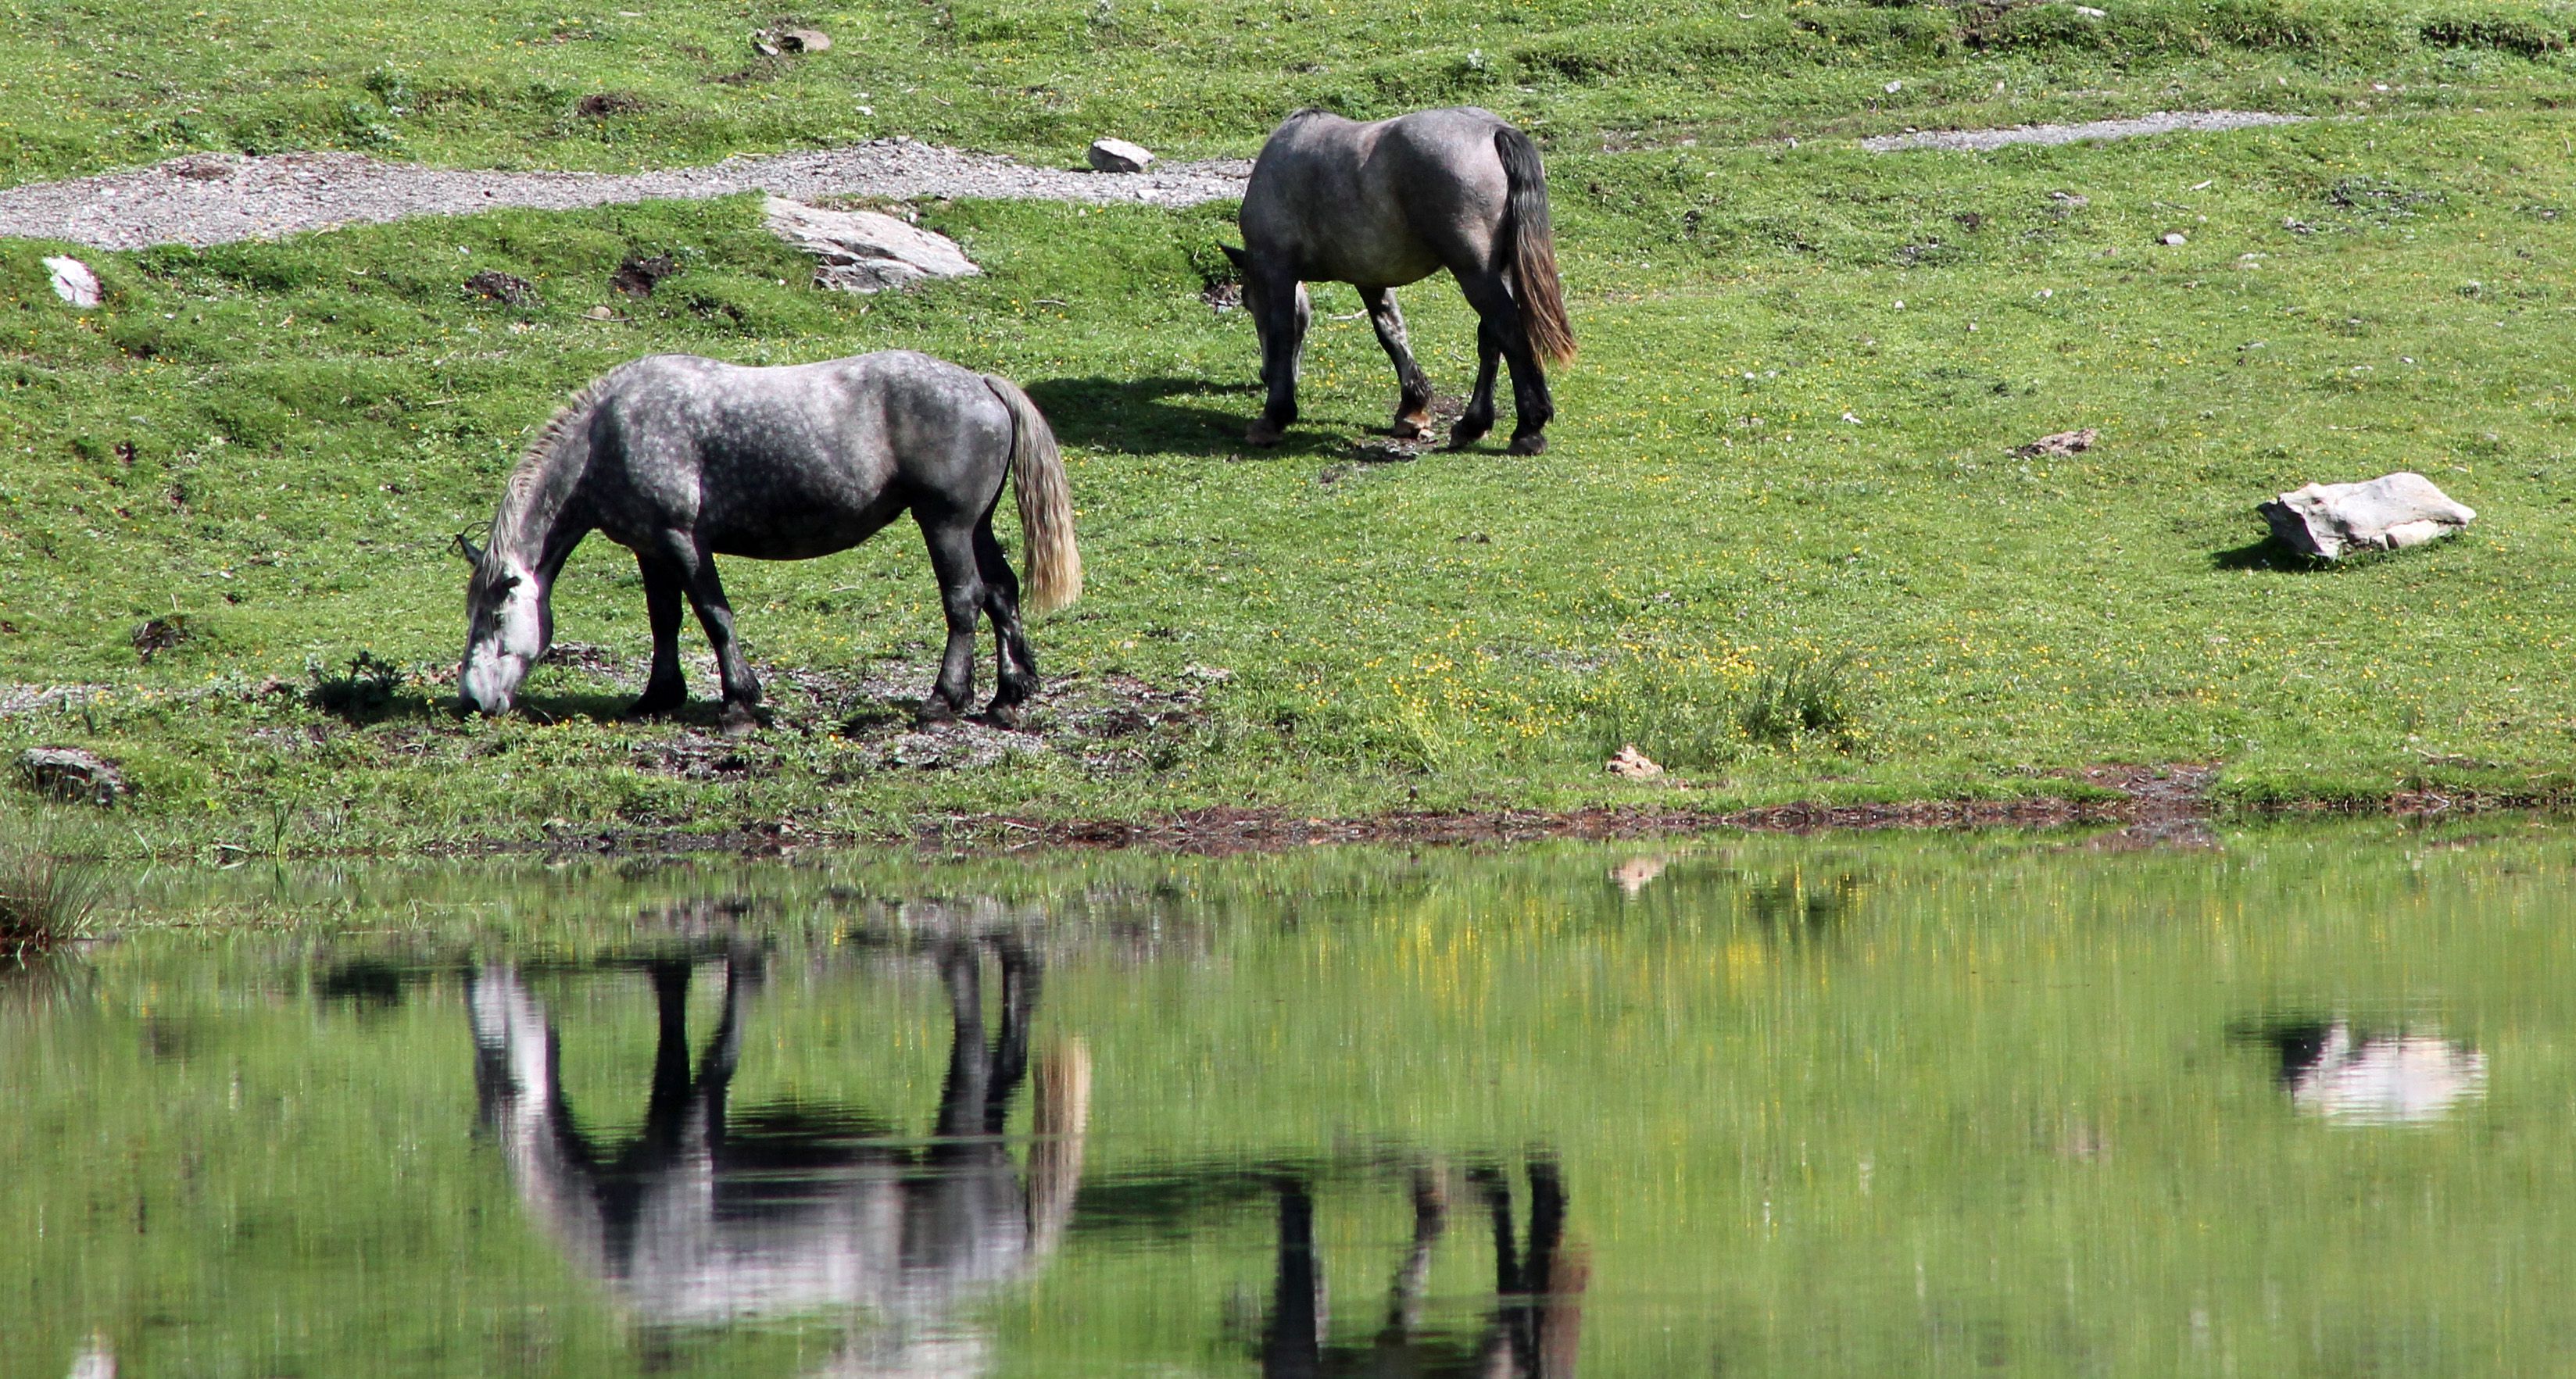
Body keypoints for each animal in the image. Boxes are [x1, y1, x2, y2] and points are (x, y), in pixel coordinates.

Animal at [453, 350, 1076, 727]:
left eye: (493, 617)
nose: (472, 699)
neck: (608, 435)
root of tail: (983, 386)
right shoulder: (651, 549)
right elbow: (666, 620)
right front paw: (658, 697)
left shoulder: (683, 540)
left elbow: (713, 615)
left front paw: (738, 702)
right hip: (976, 526)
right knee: (1002, 592)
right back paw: (1007, 695)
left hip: (945, 525)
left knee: (965, 601)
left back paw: (944, 701)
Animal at [1221, 105, 1565, 459]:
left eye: (1249, 302)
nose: (1263, 375)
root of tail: (1493, 130)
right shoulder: (1369, 276)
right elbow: (1391, 331)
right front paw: (1412, 410)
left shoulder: (1275, 268)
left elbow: (1282, 334)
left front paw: (1273, 417)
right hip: (1498, 271)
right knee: (1491, 338)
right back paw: (1472, 425)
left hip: (1475, 273)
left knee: (1509, 331)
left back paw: (1528, 429)